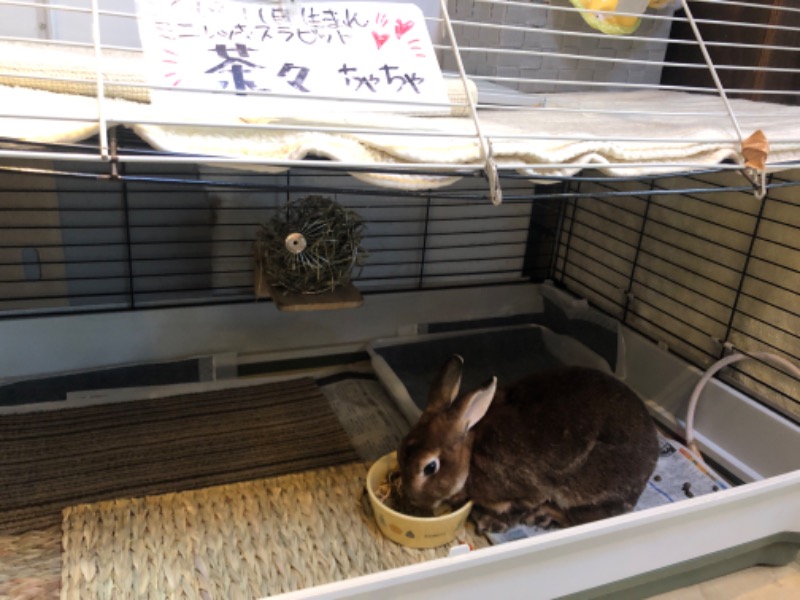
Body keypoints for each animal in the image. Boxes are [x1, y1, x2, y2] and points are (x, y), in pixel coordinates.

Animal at [396, 354, 660, 532]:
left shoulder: (527, 491)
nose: (411, 498)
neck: (470, 455)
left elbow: (519, 507)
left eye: (430, 467)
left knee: (590, 517)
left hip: (588, 488)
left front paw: (491, 523)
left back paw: (543, 516)